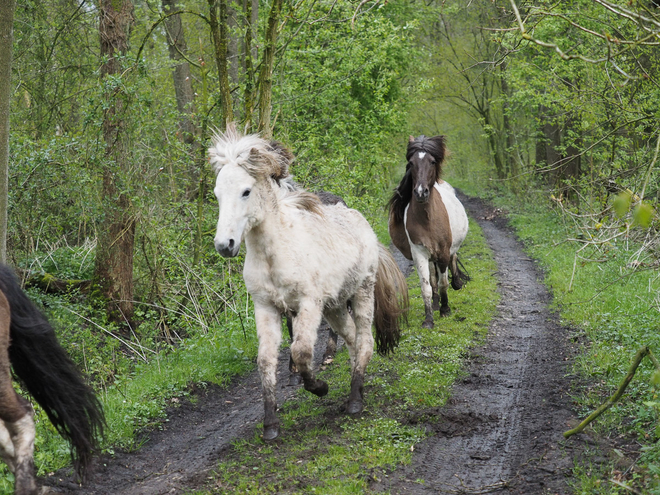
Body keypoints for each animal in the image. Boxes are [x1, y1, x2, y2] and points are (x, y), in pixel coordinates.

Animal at [386, 136, 470, 330]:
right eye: (411, 163)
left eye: (432, 162)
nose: (420, 192)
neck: (428, 218)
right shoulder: (419, 253)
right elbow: (427, 287)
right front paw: (429, 318)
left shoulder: (444, 252)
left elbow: (443, 282)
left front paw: (446, 310)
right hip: (431, 255)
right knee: (432, 278)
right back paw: (435, 303)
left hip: (447, 250)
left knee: (452, 262)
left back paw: (456, 283)